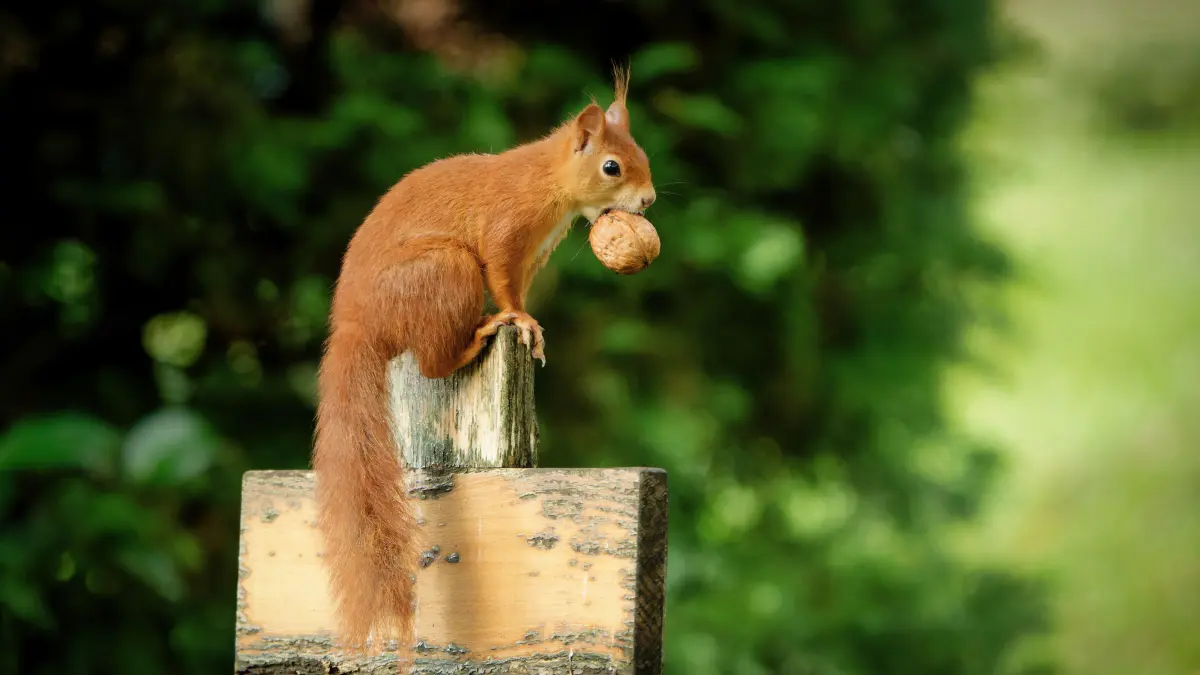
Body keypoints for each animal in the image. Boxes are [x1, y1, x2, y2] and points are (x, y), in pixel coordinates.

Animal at [311, 67, 656, 649]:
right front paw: (520, 322)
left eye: (643, 154)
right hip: (446, 269)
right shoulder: (505, 233)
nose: (649, 201)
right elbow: (504, 284)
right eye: (612, 166)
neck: (546, 183)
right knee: (432, 363)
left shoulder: (534, 257)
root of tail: (356, 324)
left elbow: (519, 287)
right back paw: (475, 340)